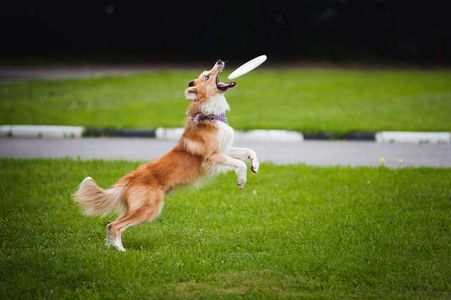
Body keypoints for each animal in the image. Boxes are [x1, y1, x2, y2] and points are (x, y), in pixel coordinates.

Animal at [73, 60, 260, 251]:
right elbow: (239, 164)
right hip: (149, 210)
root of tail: (132, 177)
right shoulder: (212, 157)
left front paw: (255, 164)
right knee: (117, 226)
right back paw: (122, 250)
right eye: (207, 76)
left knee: (110, 224)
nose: (220, 61)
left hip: (136, 208)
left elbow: (248, 151)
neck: (210, 115)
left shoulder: (225, 149)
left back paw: (111, 248)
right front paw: (241, 181)